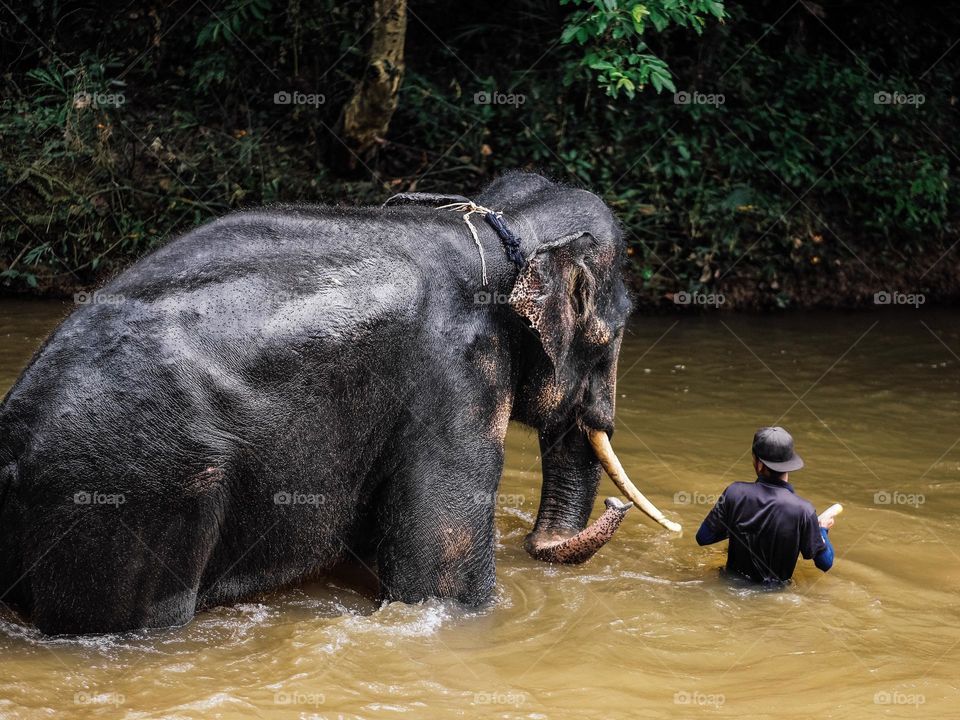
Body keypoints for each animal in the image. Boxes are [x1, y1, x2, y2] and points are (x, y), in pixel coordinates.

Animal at [0, 172, 676, 632]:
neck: (496, 221)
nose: (617, 504)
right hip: (130, 489)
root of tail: (13, 440)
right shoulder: (457, 377)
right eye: (615, 332)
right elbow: (440, 584)